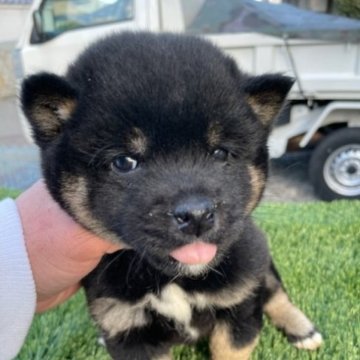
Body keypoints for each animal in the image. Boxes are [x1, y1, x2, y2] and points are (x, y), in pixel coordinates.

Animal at [21, 32, 322, 358]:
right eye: (124, 162)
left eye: (220, 153)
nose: (197, 215)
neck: (175, 280)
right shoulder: (128, 331)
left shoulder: (239, 303)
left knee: (274, 289)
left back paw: (301, 328)